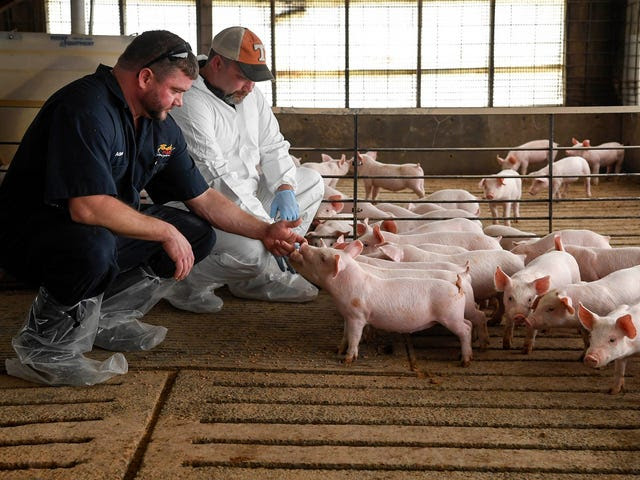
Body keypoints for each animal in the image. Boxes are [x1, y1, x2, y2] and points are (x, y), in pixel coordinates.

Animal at [288, 242, 472, 366]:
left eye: (323, 257)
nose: (303, 245)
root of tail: (457, 285)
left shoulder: (358, 316)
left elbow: (354, 337)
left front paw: (347, 359)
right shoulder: (347, 315)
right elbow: (345, 334)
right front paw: (338, 350)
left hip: (450, 316)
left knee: (465, 329)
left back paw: (464, 361)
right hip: (455, 316)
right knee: (469, 323)